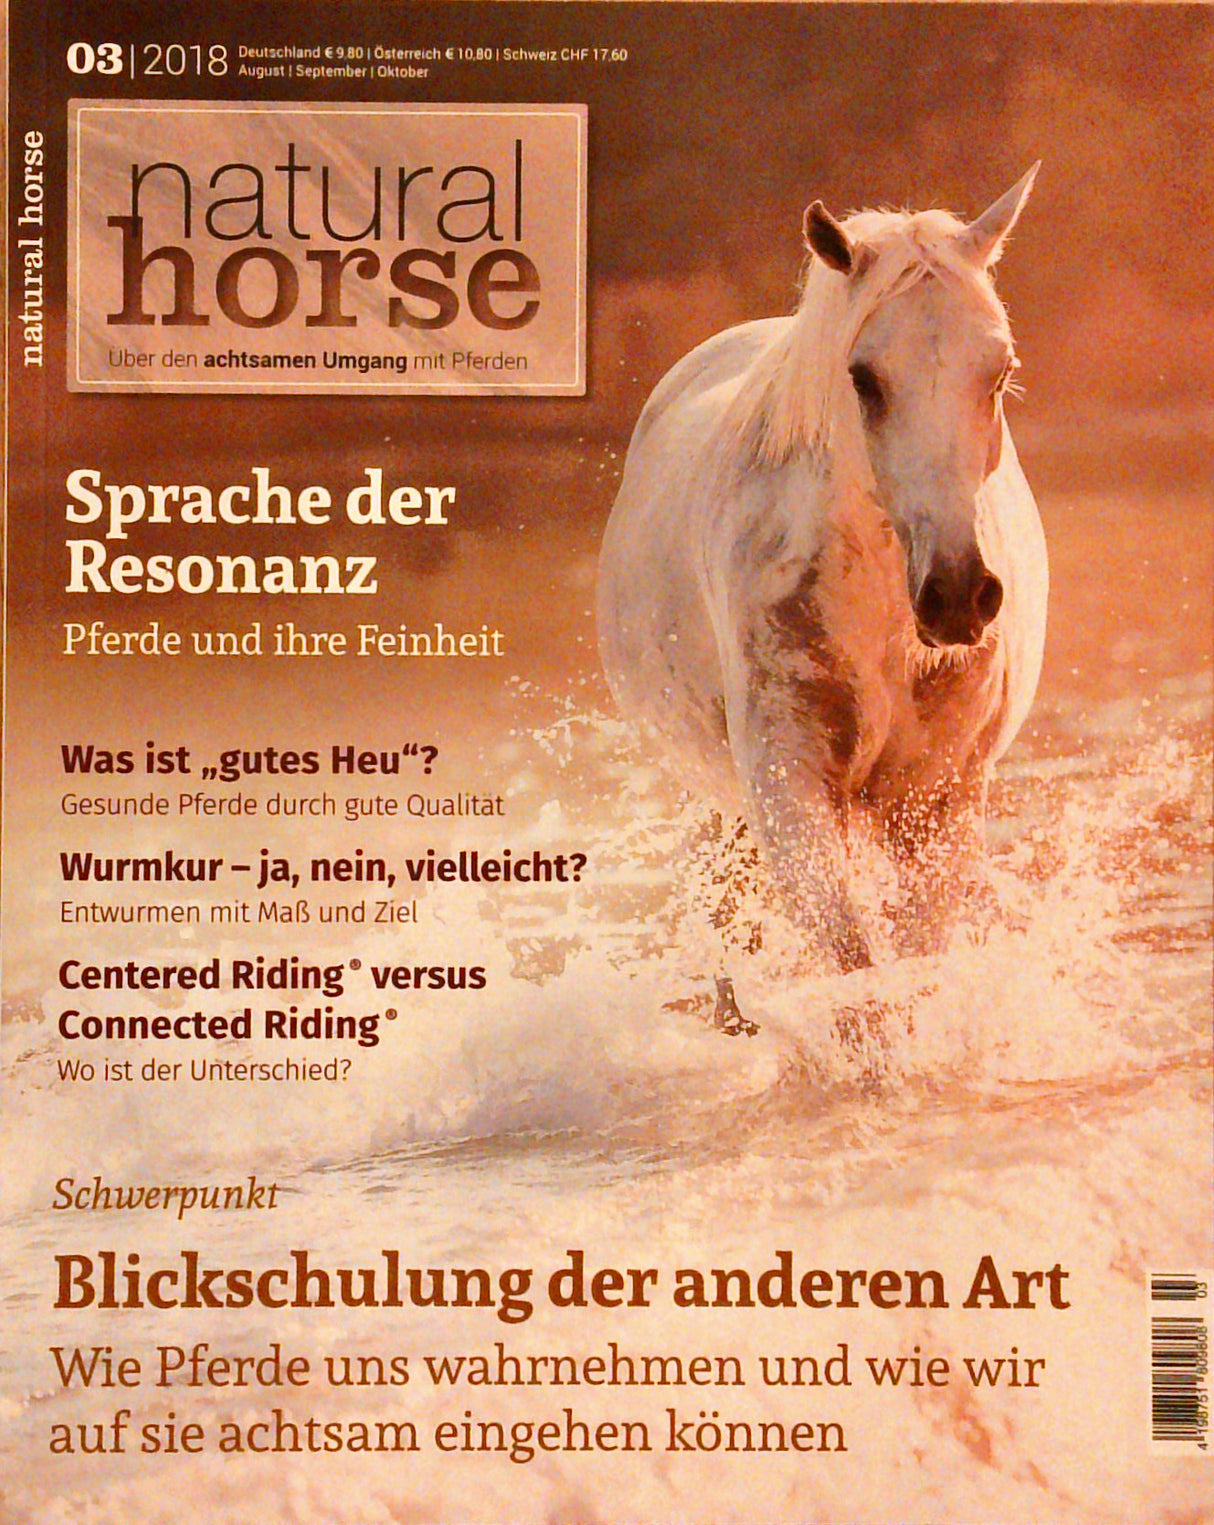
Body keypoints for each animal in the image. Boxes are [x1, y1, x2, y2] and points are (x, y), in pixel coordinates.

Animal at [597, 168, 1048, 1029]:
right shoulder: (788, 786)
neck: (882, 624)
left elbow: (912, 963)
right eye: (864, 377)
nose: (957, 596)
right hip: (726, 800)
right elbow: (854, 971)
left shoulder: (933, 805)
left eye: (1002, 371)